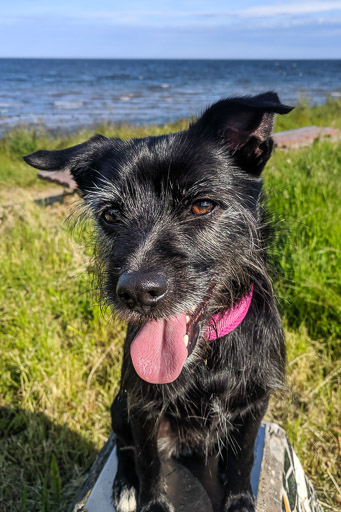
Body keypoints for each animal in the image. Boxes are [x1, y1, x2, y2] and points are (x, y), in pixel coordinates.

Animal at [24, 93, 292, 512]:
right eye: (111, 213)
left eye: (202, 205)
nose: (135, 291)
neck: (206, 358)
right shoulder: (143, 406)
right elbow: (148, 461)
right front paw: (149, 500)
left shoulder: (253, 406)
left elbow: (243, 459)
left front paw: (239, 501)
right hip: (119, 408)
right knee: (125, 448)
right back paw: (125, 485)